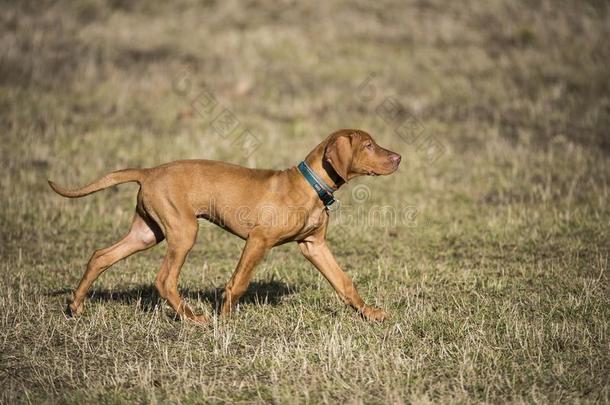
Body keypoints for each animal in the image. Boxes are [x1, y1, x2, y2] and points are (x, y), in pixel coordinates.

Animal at [50, 129, 402, 322]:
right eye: (369, 146)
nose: (398, 157)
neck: (311, 186)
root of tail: (149, 171)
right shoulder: (258, 240)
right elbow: (238, 283)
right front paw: (226, 320)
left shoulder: (314, 246)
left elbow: (344, 283)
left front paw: (370, 313)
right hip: (183, 232)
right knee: (164, 279)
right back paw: (193, 319)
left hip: (147, 232)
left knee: (101, 256)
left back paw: (76, 305)